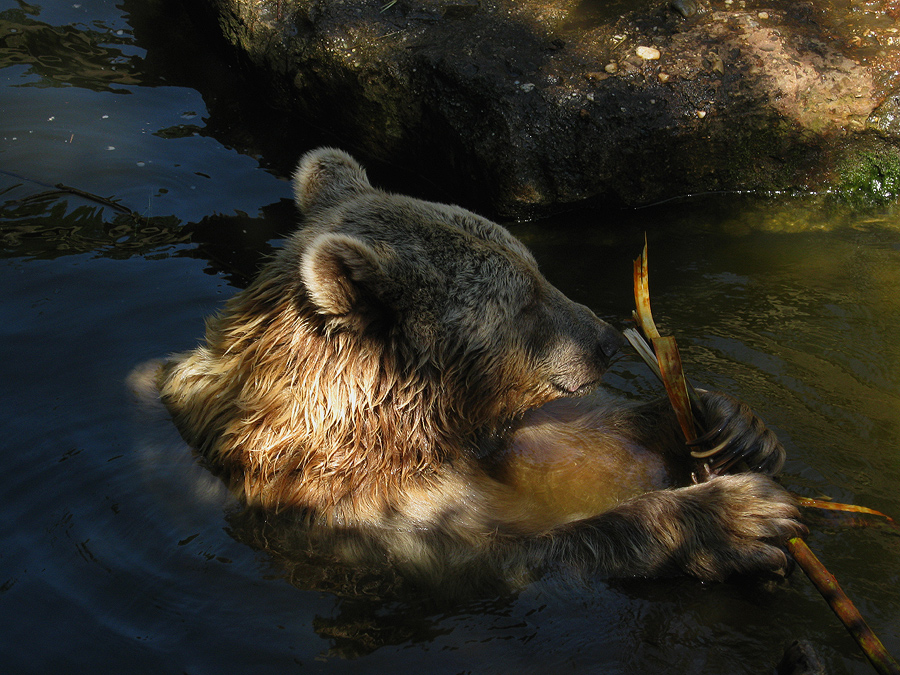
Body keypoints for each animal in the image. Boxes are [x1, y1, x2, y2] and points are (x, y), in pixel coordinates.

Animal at [158, 149, 804, 588]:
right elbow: (518, 548)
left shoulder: (487, 437)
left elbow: (577, 442)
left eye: (538, 269)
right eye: (525, 302)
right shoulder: (372, 517)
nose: (605, 341)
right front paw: (735, 518)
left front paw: (730, 425)